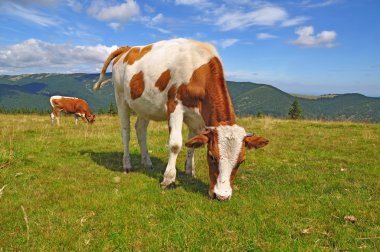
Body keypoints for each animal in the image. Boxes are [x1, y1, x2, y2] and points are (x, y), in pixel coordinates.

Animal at [93, 38, 268, 201]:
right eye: (212, 156)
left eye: (241, 161)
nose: (221, 196)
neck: (198, 68)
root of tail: (127, 48)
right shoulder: (175, 106)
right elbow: (175, 144)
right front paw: (168, 179)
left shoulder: (197, 118)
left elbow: (193, 144)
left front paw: (190, 170)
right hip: (120, 98)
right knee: (126, 132)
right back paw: (127, 164)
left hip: (144, 105)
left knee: (141, 130)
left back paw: (147, 162)